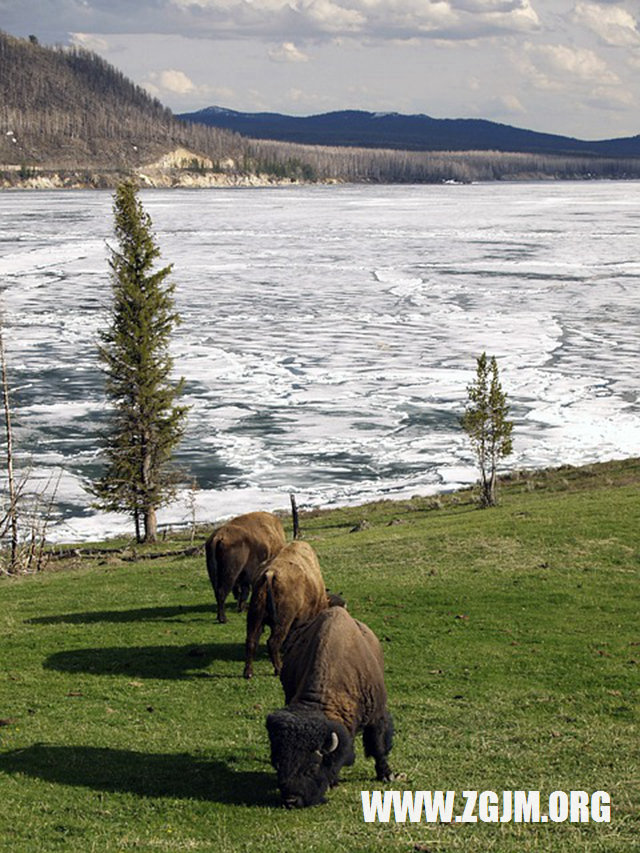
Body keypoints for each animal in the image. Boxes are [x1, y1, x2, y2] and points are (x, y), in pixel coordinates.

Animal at [242, 540, 328, 680]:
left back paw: (248, 672)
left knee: (251, 641)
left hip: (255, 617)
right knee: (272, 643)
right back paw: (279, 669)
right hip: (282, 622)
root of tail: (270, 573)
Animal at [266, 604, 396, 808]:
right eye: (278, 764)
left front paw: (387, 775)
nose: (291, 800)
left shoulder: (377, 715)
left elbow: (378, 745)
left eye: (312, 767)